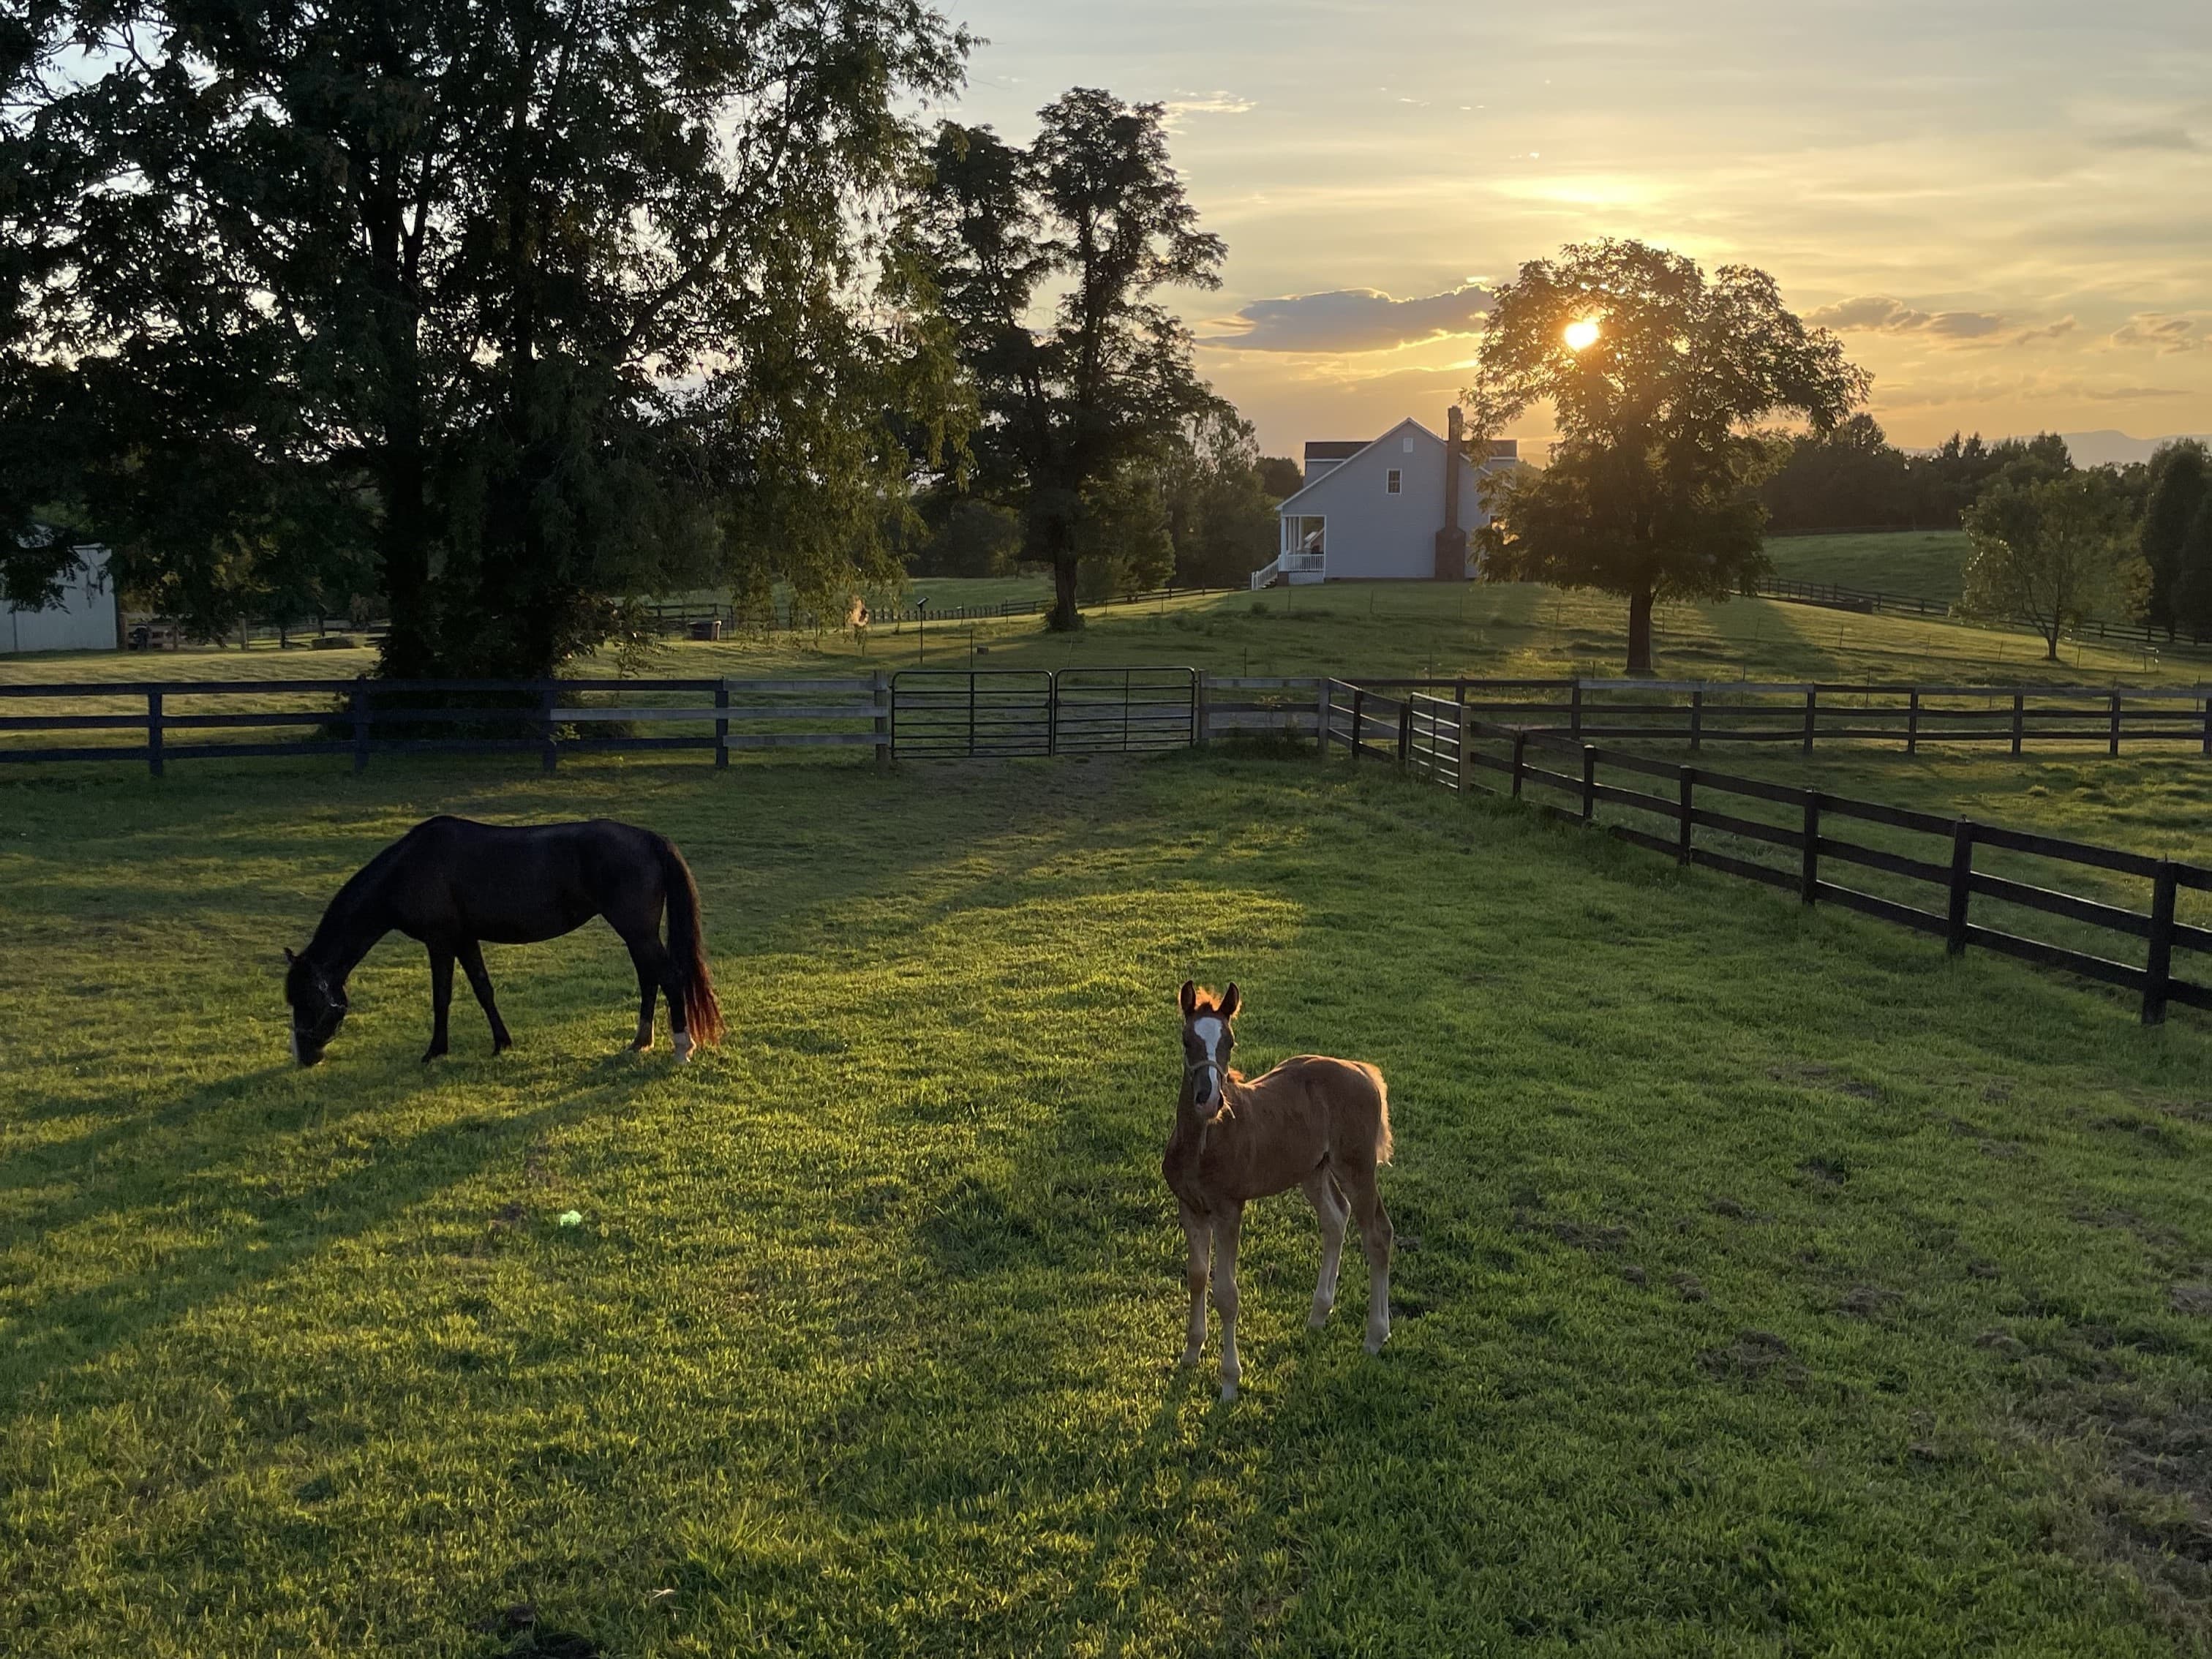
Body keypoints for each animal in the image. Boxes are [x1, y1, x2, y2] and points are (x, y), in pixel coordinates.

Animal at [281, 813, 721, 1066]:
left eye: (307, 1000)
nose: (305, 1057)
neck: (409, 867)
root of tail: (649, 839)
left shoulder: (440, 941)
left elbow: (442, 996)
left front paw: (435, 1051)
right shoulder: (464, 940)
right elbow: (483, 989)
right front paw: (502, 1043)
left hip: (637, 931)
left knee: (670, 977)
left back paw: (681, 1048)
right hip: (636, 933)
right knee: (650, 979)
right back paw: (640, 1042)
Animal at [1167, 986, 1389, 1407]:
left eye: (1230, 1042)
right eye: (1188, 1041)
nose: (1209, 1098)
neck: (1204, 1141)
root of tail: (1360, 1070)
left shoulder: (1228, 1209)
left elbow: (1226, 1294)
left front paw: (1229, 1381)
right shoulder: (1190, 1208)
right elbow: (1197, 1277)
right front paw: (1190, 1352)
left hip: (1357, 1167)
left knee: (1378, 1234)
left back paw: (1375, 1336)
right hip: (1313, 1170)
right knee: (1336, 1219)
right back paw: (1318, 1315)